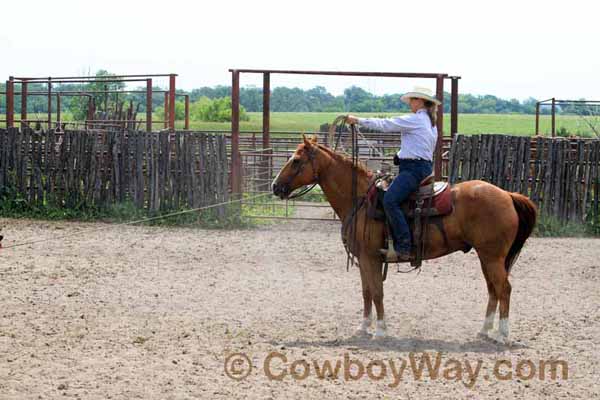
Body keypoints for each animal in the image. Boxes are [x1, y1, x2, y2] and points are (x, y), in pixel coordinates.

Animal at [272, 134, 536, 344]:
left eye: (296, 160)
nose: (275, 186)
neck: (360, 200)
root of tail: (507, 195)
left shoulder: (370, 258)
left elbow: (377, 292)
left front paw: (380, 331)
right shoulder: (365, 259)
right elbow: (366, 292)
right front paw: (363, 327)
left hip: (491, 256)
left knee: (504, 289)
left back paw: (502, 335)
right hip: (486, 257)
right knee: (493, 289)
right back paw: (484, 331)